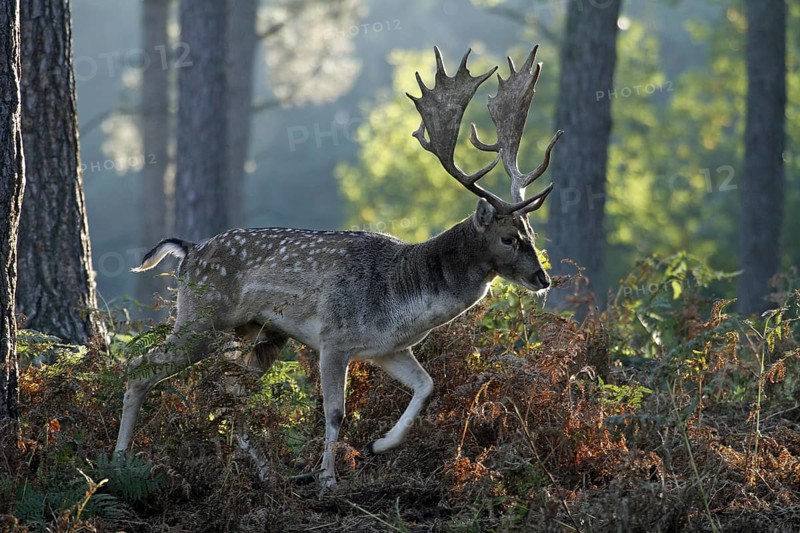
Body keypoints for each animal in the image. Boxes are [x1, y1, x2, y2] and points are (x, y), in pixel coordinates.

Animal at [115, 45, 563, 487]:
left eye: (531, 232)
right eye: (509, 238)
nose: (542, 278)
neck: (402, 297)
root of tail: (187, 251)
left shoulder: (388, 349)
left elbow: (428, 386)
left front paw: (378, 445)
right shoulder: (333, 338)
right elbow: (334, 413)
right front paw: (328, 479)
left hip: (260, 333)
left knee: (230, 391)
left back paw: (263, 471)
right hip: (202, 317)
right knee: (139, 366)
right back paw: (119, 461)